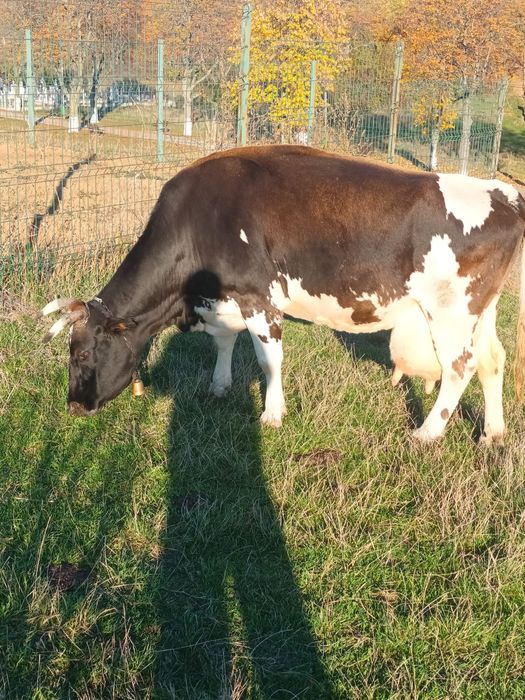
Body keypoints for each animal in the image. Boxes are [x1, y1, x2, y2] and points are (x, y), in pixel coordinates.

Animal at [41, 145, 525, 443]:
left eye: (82, 353)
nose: (73, 406)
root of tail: (503, 191)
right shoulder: (224, 298)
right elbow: (224, 344)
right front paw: (219, 386)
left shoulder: (258, 297)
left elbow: (268, 359)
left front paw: (272, 414)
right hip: (480, 311)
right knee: (492, 359)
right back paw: (492, 434)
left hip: (450, 312)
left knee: (460, 367)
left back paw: (427, 433)